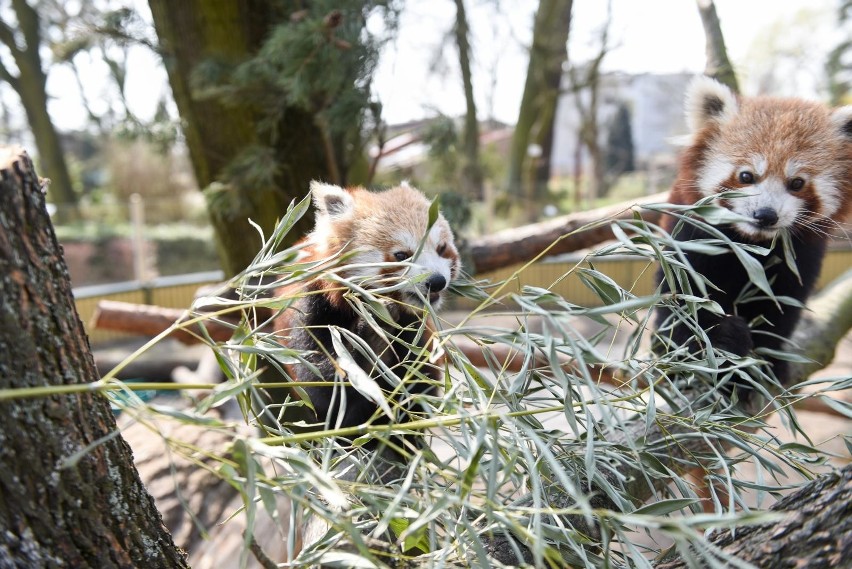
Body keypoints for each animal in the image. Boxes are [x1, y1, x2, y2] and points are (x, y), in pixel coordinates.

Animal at [270, 180, 462, 432]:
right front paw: (373, 334)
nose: (437, 281)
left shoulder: (418, 331)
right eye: (402, 255)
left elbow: (418, 387)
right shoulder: (309, 307)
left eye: (441, 248)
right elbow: (324, 387)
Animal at [656, 76, 848, 390]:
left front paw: (769, 358)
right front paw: (715, 346)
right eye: (746, 176)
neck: (750, 243)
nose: (765, 215)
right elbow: (684, 297)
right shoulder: (692, 233)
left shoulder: (801, 254)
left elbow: (782, 306)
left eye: (797, 183)